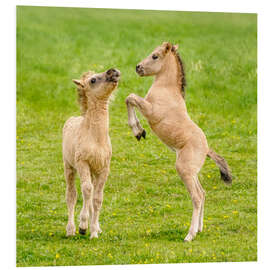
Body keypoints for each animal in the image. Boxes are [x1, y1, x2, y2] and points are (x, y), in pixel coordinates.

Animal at [125, 42, 231, 243]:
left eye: (155, 56)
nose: (138, 67)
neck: (166, 90)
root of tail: (206, 148)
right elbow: (130, 98)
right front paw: (139, 132)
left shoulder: (151, 111)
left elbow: (131, 97)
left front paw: (138, 131)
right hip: (192, 172)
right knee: (203, 193)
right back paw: (199, 229)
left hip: (184, 169)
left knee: (197, 197)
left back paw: (190, 235)